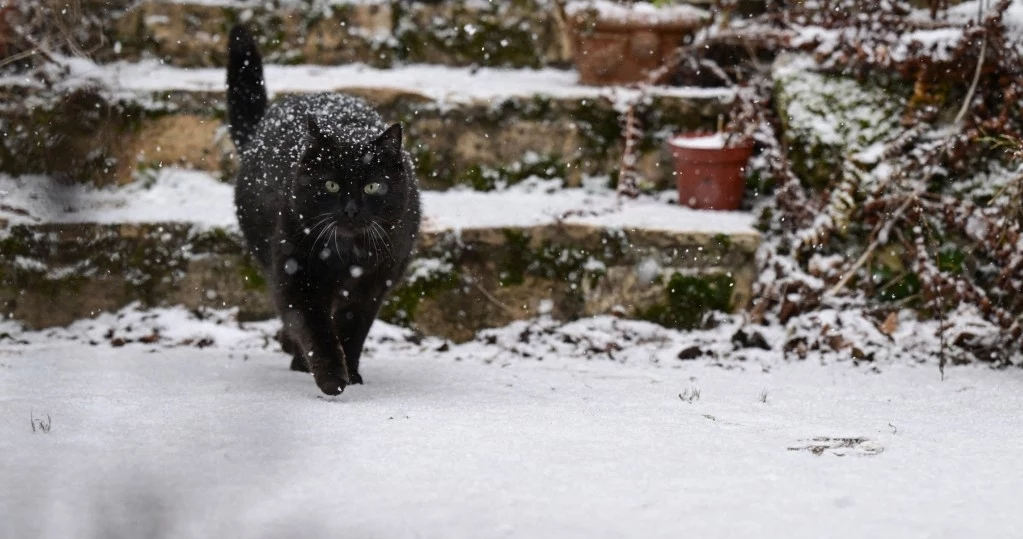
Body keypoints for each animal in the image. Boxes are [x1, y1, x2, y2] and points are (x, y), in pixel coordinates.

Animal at [227, 25, 419, 394]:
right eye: (330, 185)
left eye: (372, 187)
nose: (351, 209)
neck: (347, 253)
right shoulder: (297, 273)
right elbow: (315, 327)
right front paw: (331, 378)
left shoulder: (373, 284)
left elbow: (351, 329)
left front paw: (352, 374)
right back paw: (298, 360)